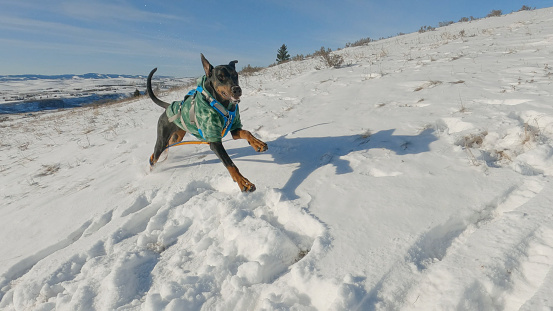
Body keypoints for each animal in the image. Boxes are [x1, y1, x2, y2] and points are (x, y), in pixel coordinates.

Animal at [147, 53, 268, 193]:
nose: (237, 89)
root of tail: (168, 107)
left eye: (235, 75)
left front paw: (257, 143)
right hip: (162, 139)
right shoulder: (214, 141)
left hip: (176, 137)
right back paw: (152, 169)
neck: (221, 105)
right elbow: (230, 163)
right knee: (156, 154)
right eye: (220, 77)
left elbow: (246, 132)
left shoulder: (234, 128)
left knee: (163, 149)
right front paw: (243, 182)